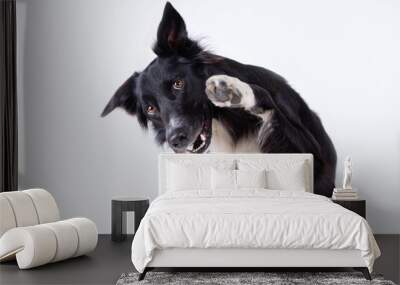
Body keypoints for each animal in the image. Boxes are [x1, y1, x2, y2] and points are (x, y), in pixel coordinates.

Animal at [101, 3, 336, 196]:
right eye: (150, 109)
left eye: (178, 83)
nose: (176, 140)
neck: (226, 122)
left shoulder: (314, 158)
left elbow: (265, 98)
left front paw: (233, 90)